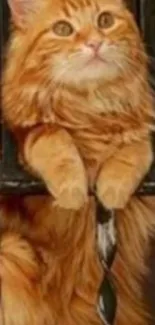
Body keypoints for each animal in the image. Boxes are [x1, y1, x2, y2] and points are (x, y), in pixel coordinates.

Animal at [1, 0, 155, 322]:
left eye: (105, 20)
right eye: (63, 29)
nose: (94, 43)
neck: (90, 103)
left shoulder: (140, 131)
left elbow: (134, 150)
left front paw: (112, 189)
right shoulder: (25, 140)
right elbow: (55, 138)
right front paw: (72, 190)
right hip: (10, 252)